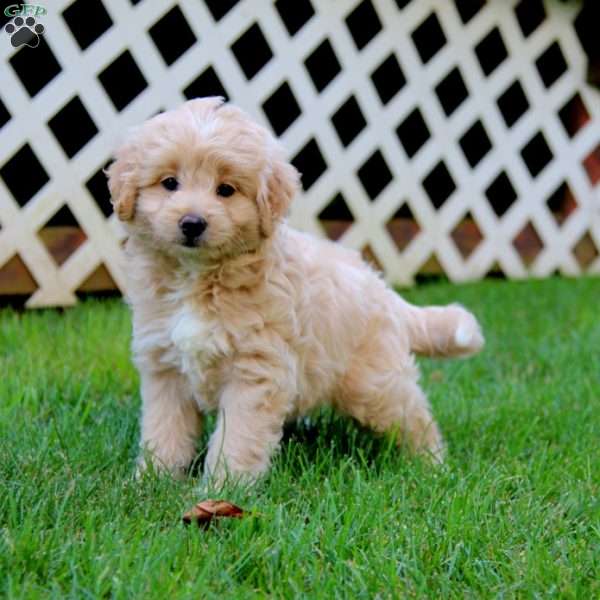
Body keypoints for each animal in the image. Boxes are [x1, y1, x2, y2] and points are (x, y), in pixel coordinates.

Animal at [106, 96, 482, 486]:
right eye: (169, 183)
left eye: (226, 189)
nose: (192, 223)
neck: (200, 277)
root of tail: (382, 289)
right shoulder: (164, 368)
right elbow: (165, 430)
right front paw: (153, 480)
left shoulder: (254, 373)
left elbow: (237, 437)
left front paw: (226, 486)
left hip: (373, 384)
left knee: (414, 416)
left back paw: (432, 465)